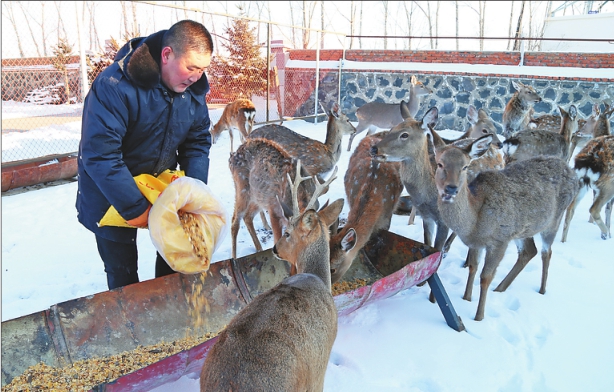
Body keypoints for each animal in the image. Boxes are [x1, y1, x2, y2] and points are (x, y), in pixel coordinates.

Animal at [434, 135, 584, 322]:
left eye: (465, 166)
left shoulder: (500, 239)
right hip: (522, 230)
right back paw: (500, 288)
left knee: (546, 252)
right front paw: (466, 298)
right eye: (440, 163)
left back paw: (542, 290)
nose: (451, 188)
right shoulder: (476, 244)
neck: (474, 222)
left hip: (553, 220)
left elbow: (485, 277)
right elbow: (472, 268)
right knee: (529, 251)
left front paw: (479, 316)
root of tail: (574, 175)